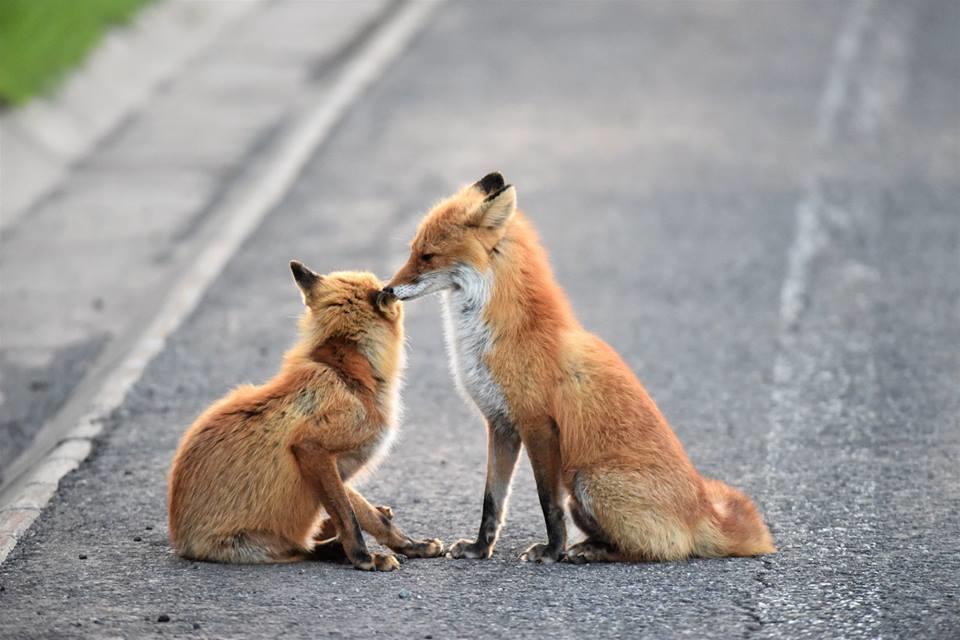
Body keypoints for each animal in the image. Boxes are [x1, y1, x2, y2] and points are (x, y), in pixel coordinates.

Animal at [167, 262, 444, 568]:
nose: (395, 287)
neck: (345, 372)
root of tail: (181, 540)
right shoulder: (312, 448)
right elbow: (349, 518)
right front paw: (364, 557)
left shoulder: (336, 468)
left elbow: (371, 517)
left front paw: (412, 546)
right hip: (269, 546)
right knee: (306, 548)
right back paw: (335, 549)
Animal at [380, 172, 772, 564]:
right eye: (412, 250)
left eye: (427, 255)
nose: (387, 289)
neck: (496, 336)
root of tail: (704, 509)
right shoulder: (501, 424)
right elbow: (492, 500)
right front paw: (479, 549)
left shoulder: (538, 425)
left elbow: (546, 502)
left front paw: (552, 551)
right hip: (579, 495)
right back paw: (590, 546)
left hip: (587, 480)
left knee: (661, 549)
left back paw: (589, 552)